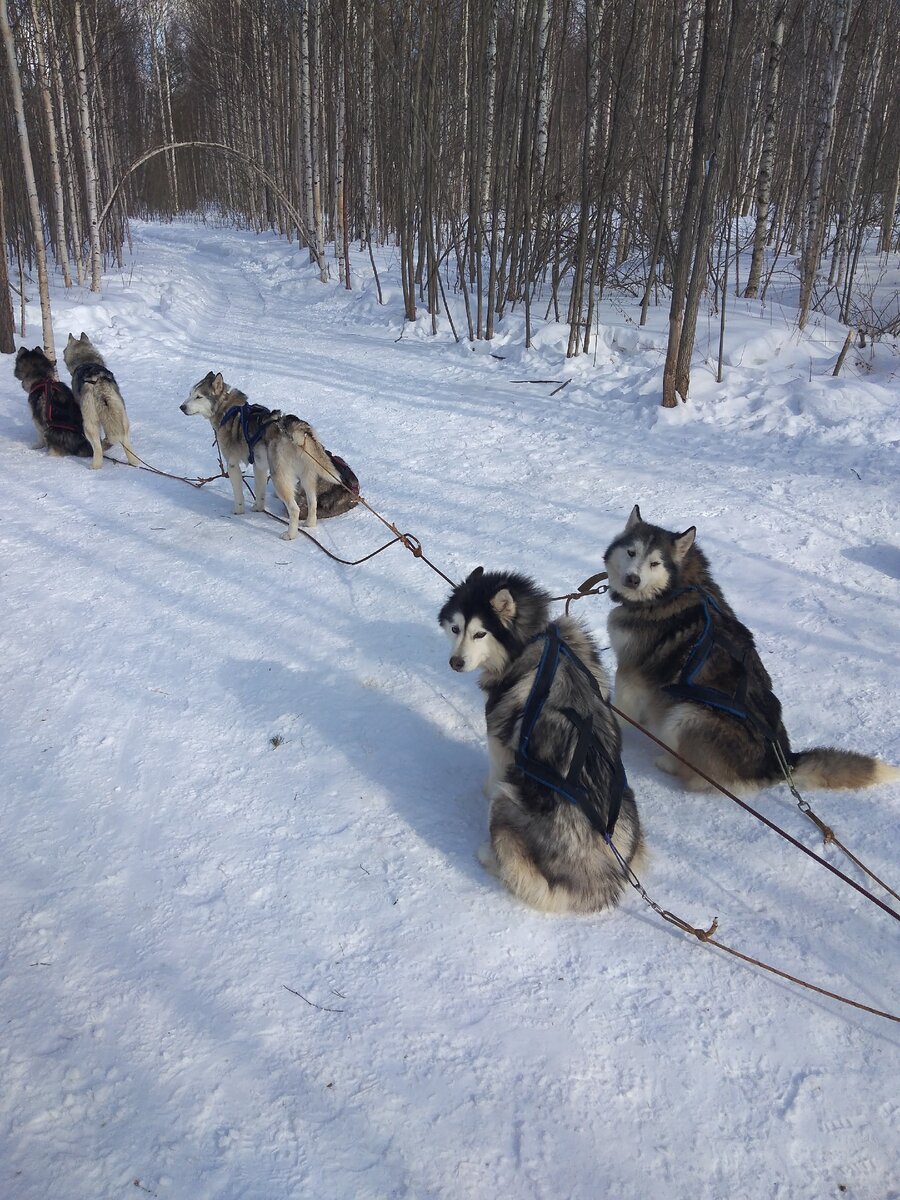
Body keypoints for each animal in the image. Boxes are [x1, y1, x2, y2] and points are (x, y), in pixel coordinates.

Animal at [62, 338, 138, 472]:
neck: (87, 360)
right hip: (123, 418)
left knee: (97, 448)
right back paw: (134, 462)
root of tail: (97, 380)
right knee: (125, 442)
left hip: (89, 424)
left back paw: (95, 466)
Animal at [441, 566, 643, 912]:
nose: (456, 663)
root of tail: (600, 877)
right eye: (456, 628)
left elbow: (493, 773)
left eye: (480, 634)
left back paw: (487, 856)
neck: (532, 639)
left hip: (507, 803)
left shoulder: (498, 736)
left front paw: (481, 790)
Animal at [607, 506, 900, 796]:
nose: (632, 579)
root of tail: (780, 765)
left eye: (655, 563)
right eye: (631, 552)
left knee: (698, 777)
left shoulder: (631, 672)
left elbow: (620, 709)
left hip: (688, 714)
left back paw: (668, 762)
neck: (672, 590)